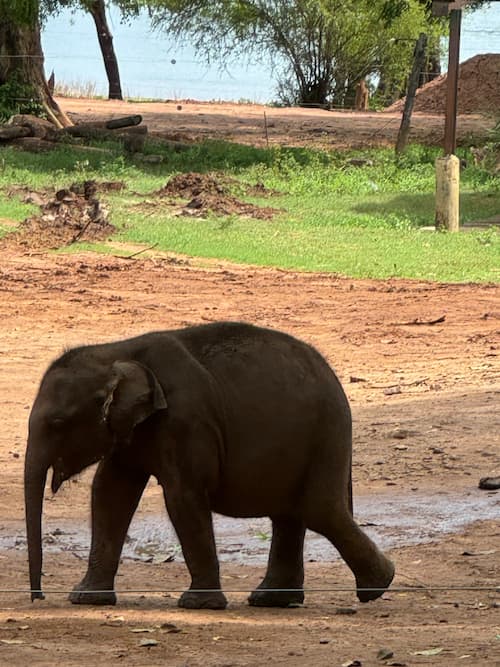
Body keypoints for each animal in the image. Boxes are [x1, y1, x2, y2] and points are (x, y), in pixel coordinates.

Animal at [25, 321, 395, 609]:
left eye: (57, 423)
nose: (38, 597)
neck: (116, 351)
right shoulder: (131, 428)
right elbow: (109, 493)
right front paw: (85, 599)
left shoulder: (187, 421)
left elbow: (182, 497)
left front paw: (198, 604)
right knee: (291, 514)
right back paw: (272, 600)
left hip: (326, 435)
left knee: (319, 510)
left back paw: (378, 586)